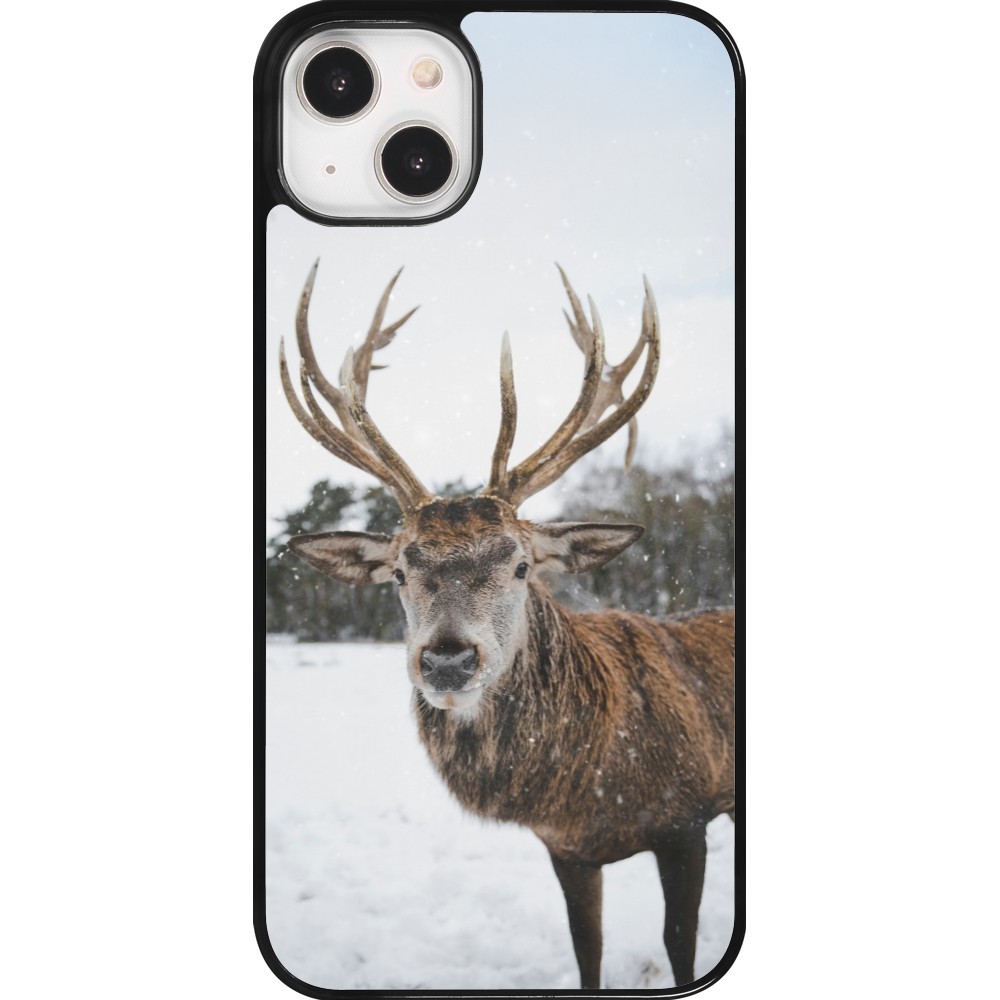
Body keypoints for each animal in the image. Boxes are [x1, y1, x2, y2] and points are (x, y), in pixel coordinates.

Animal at [277, 261, 736, 989]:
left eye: (521, 565)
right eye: (399, 572)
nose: (448, 660)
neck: (592, 786)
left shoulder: (688, 818)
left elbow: (680, 946)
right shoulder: (567, 849)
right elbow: (587, 950)